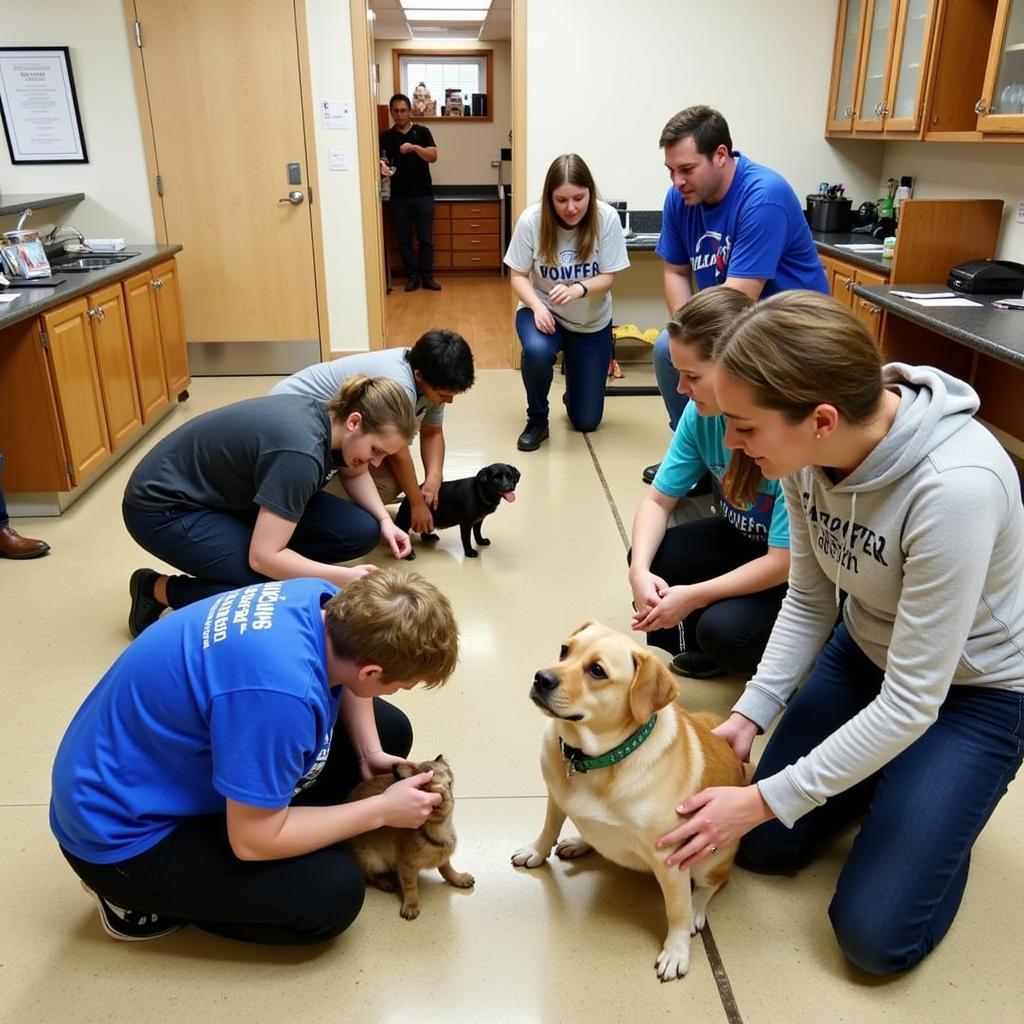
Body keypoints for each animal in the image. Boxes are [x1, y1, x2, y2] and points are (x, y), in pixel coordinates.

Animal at [342, 753, 473, 921]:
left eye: (450, 784)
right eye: (424, 788)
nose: (441, 797)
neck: (437, 829)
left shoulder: (443, 856)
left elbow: (447, 868)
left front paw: (458, 878)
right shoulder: (406, 866)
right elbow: (411, 887)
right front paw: (411, 906)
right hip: (372, 860)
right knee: (369, 875)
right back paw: (386, 882)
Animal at [391, 464, 520, 561]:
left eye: (510, 476)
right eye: (496, 478)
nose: (509, 487)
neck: (479, 492)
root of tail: (406, 498)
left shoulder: (479, 520)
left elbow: (477, 533)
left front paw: (481, 541)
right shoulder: (466, 523)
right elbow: (466, 539)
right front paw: (469, 552)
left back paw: (429, 537)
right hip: (407, 520)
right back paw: (408, 553)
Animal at [509, 618, 745, 978]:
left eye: (597, 671)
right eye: (565, 650)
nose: (541, 677)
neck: (592, 760)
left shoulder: (670, 860)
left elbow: (676, 911)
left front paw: (677, 951)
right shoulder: (555, 797)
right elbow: (549, 828)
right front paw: (536, 851)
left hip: (709, 860)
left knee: (713, 884)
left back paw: (698, 909)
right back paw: (579, 841)